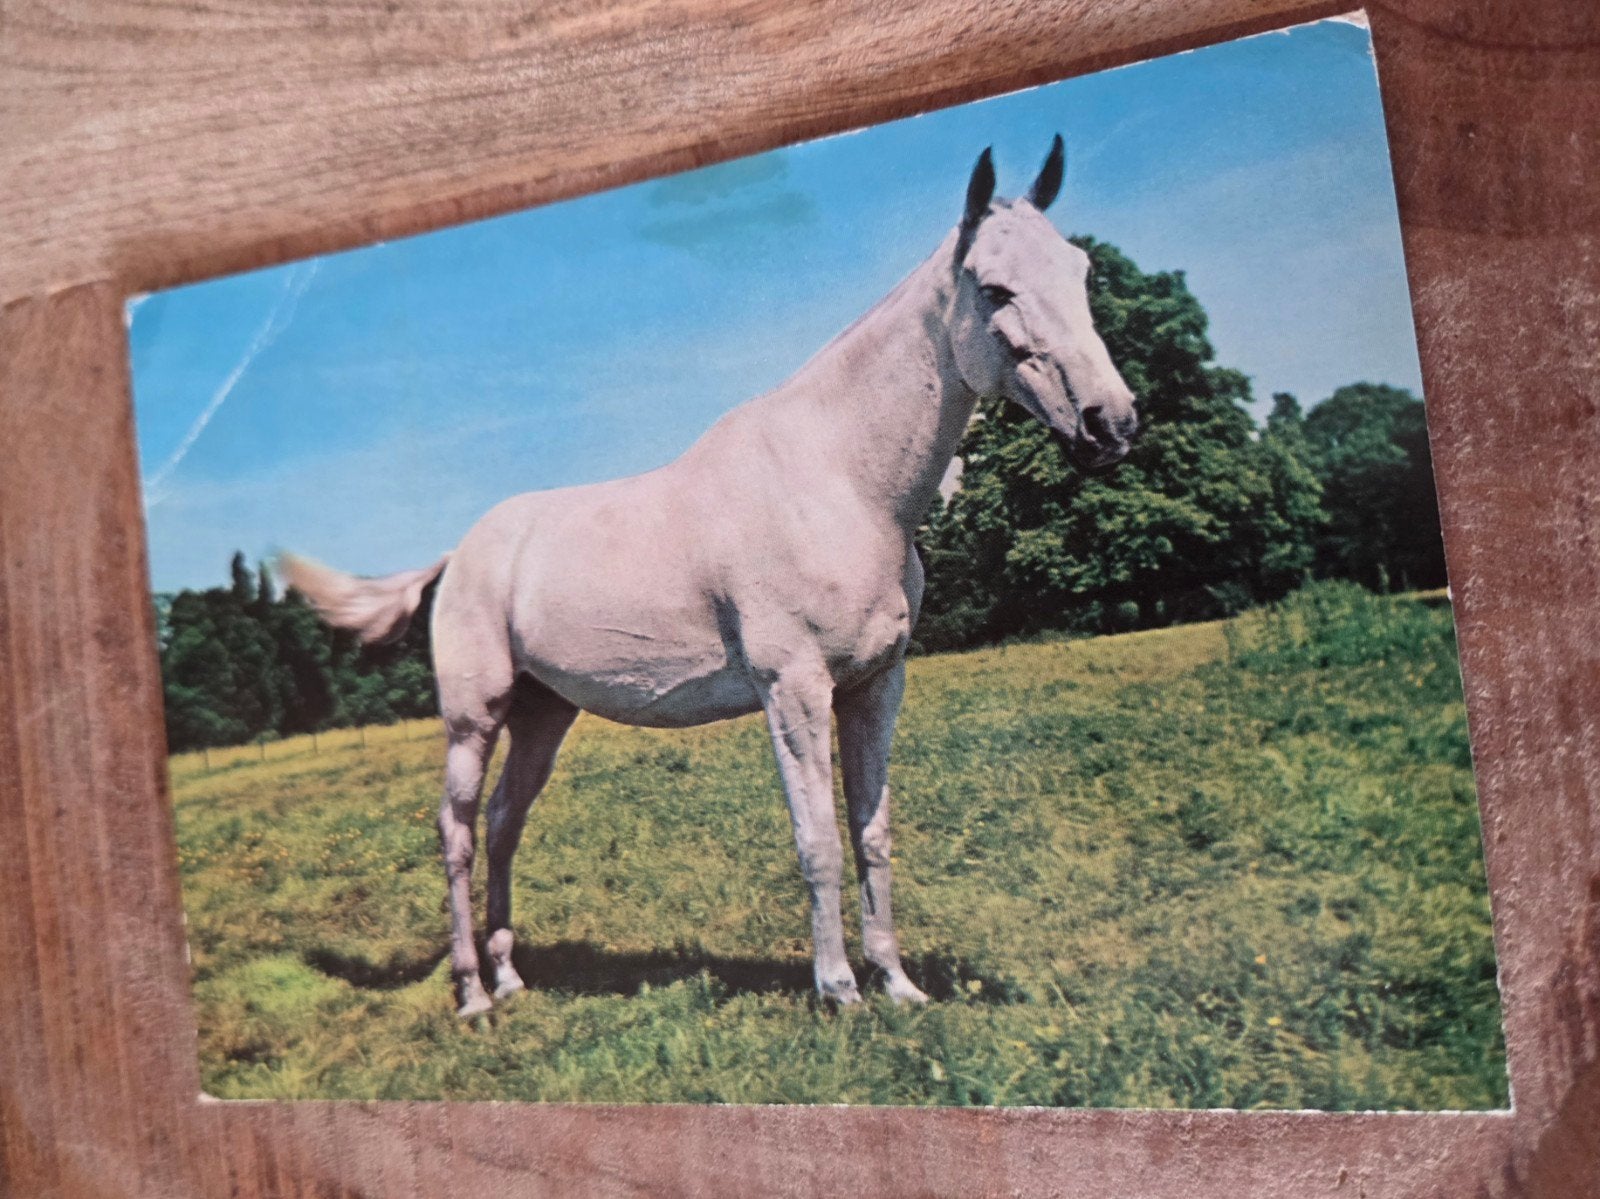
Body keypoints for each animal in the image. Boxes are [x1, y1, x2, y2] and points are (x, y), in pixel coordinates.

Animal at [283, 136, 1139, 1016]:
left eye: (1079, 270)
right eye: (995, 288)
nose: (1113, 423)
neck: (837, 482)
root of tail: (459, 554)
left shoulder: (877, 685)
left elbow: (872, 832)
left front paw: (897, 984)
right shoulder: (794, 689)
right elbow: (819, 840)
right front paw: (839, 990)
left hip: (543, 716)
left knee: (502, 824)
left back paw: (512, 977)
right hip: (473, 718)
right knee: (455, 832)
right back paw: (472, 996)